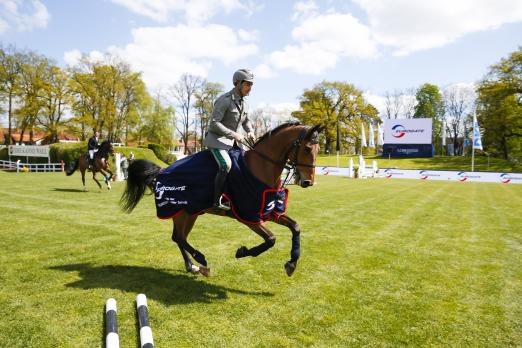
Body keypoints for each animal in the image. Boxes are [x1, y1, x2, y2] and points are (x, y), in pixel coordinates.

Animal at [120, 122, 322, 278]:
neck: (261, 168)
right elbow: (271, 239)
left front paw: (292, 263)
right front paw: (242, 252)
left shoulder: (268, 211)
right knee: (178, 237)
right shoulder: (248, 217)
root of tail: (162, 172)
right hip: (181, 212)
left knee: (179, 237)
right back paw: (200, 259)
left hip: (191, 213)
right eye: (306, 148)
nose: (308, 182)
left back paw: (192, 266)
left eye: (318, 149)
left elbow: (295, 227)